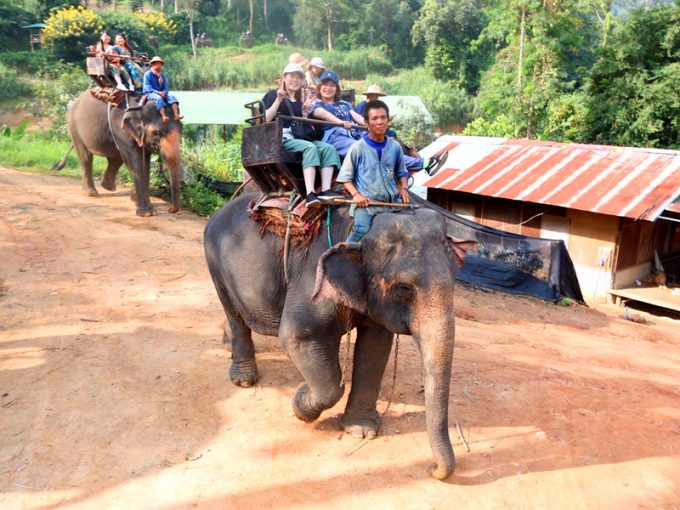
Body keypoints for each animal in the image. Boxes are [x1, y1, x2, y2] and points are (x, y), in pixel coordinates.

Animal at [204, 194, 475, 479]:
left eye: (455, 279)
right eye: (404, 288)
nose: (433, 469)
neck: (361, 231)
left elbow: (375, 347)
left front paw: (361, 431)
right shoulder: (312, 279)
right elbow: (297, 337)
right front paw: (300, 404)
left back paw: (227, 345)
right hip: (215, 262)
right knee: (234, 314)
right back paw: (244, 380)